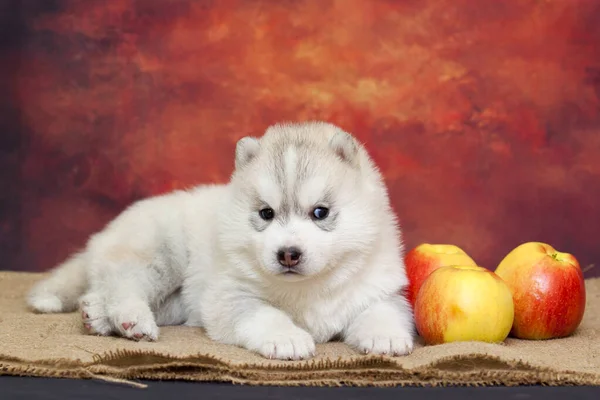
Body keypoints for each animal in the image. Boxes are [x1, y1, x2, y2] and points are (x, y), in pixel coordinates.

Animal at [27, 121, 412, 360]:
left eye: (320, 212)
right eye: (266, 213)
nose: (288, 254)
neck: (307, 289)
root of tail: (102, 235)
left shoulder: (379, 290)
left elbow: (383, 310)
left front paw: (386, 336)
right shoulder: (230, 295)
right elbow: (265, 314)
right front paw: (286, 338)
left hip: (176, 298)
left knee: (106, 291)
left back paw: (95, 315)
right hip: (159, 256)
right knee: (123, 286)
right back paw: (132, 320)